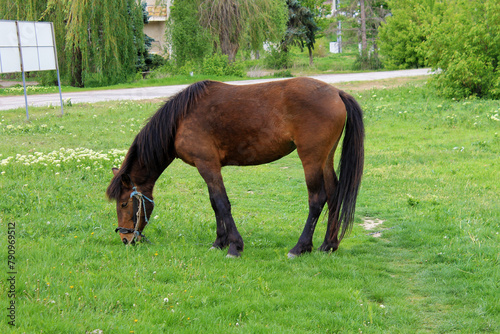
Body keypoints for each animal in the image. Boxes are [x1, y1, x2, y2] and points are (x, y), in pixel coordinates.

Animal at [106, 77, 364, 258]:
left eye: (124, 203)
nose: (126, 239)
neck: (180, 120)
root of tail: (337, 93)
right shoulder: (208, 168)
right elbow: (214, 203)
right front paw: (219, 242)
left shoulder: (207, 165)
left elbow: (222, 203)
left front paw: (234, 247)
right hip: (325, 158)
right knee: (334, 195)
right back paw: (328, 245)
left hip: (311, 158)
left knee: (317, 199)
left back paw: (300, 248)